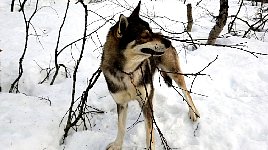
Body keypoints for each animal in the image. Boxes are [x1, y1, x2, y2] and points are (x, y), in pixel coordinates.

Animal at [100, 0, 199, 149]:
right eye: (145, 35)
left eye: (151, 30)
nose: (168, 42)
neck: (128, 73)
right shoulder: (121, 103)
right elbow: (121, 127)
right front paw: (117, 145)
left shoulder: (146, 101)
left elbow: (149, 132)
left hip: (174, 73)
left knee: (186, 93)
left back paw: (193, 112)